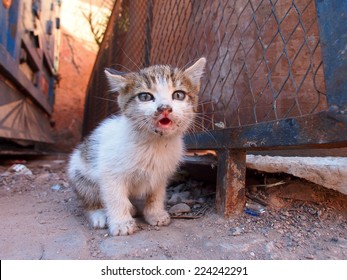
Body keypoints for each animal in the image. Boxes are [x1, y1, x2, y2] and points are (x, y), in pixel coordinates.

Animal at [67, 58, 207, 235]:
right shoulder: (109, 172)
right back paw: (98, 214)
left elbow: (156, 194)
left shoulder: (161, 174)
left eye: (178, 95)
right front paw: (121, 223)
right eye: (145, 96)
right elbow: (116, 197)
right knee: (89, 198)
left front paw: (155, 214)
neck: (155, 143)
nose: (164, 108)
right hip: (78, 174)